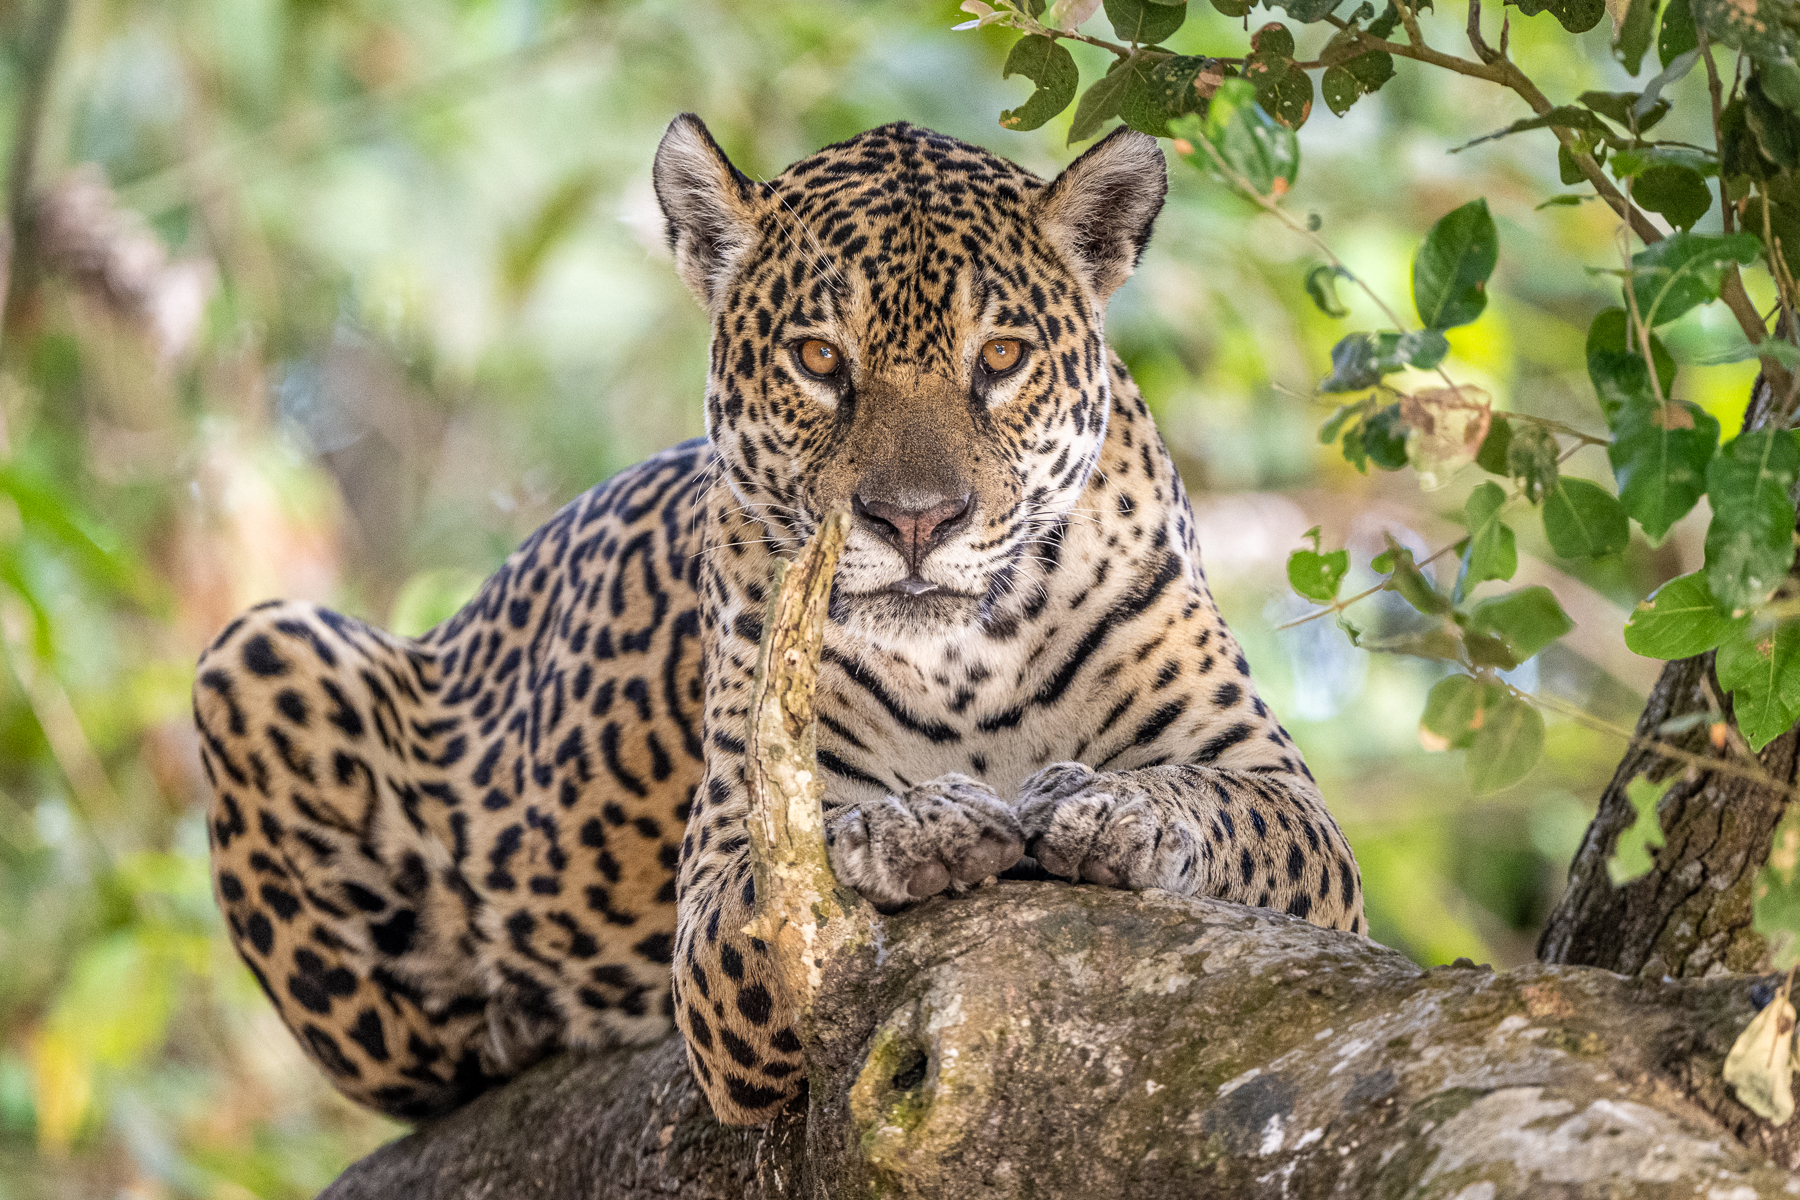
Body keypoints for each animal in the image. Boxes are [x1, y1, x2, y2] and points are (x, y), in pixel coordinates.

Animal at [192, 114, 1366, 1129]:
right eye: (818, 359)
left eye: (998, 359)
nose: (915, 519)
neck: (965, 659)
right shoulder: (722, 881)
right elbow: (788, 882)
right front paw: (909, 828)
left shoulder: (1286, 800)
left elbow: (1224, 805)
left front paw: (1117, 809)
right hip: (255, 650)